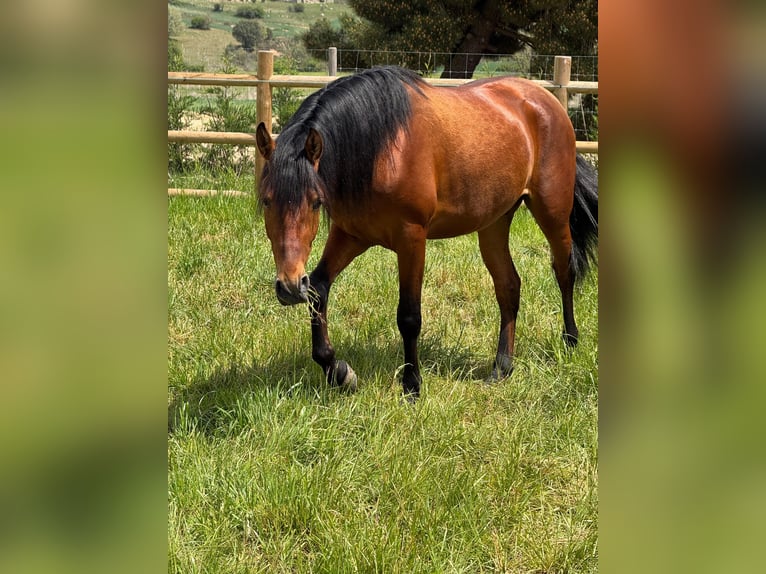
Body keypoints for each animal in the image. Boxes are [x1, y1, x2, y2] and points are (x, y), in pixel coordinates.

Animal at [255, 66, 598, 400]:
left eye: (315, 201)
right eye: (267, 200)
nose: (289, 286)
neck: (381, 148)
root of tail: (546, 100)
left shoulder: (411, 239)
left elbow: (409, 316)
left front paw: (412, 386)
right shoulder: (351, 234)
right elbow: (318, 289)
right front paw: (339, 372)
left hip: (552, 212)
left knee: (564, 271)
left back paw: (569, 341)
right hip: (494, 223)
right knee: (509, 286)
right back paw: (501, 368)